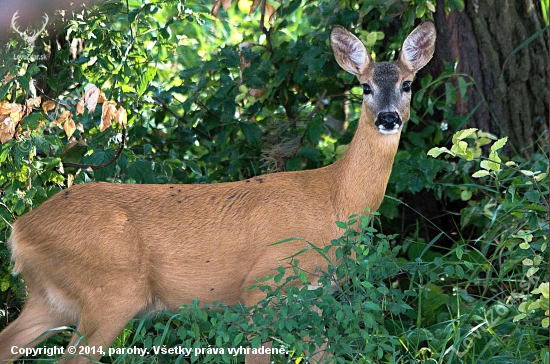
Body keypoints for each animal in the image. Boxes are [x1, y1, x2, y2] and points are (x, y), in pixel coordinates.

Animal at [1, 21, 440, 362]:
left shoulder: (314, 300)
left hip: (50, 298)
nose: (388, 118)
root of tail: (20, 230)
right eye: (365, 87)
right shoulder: (262, 290)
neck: (333, 202)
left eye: (407, 84)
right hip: (110, 292)